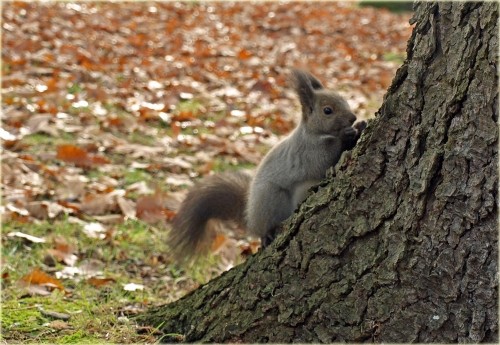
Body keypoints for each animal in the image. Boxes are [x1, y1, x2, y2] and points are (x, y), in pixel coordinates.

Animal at [170, 69, 366, 258]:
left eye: (344, 100)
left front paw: (361, 126)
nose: (353, 117)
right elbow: (324, 160)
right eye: (327, 110)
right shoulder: (308, 152)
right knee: (264, 228)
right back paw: (266, 235)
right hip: (271, 198)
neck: (313, 133)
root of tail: (250, 218)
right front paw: (347, 135)